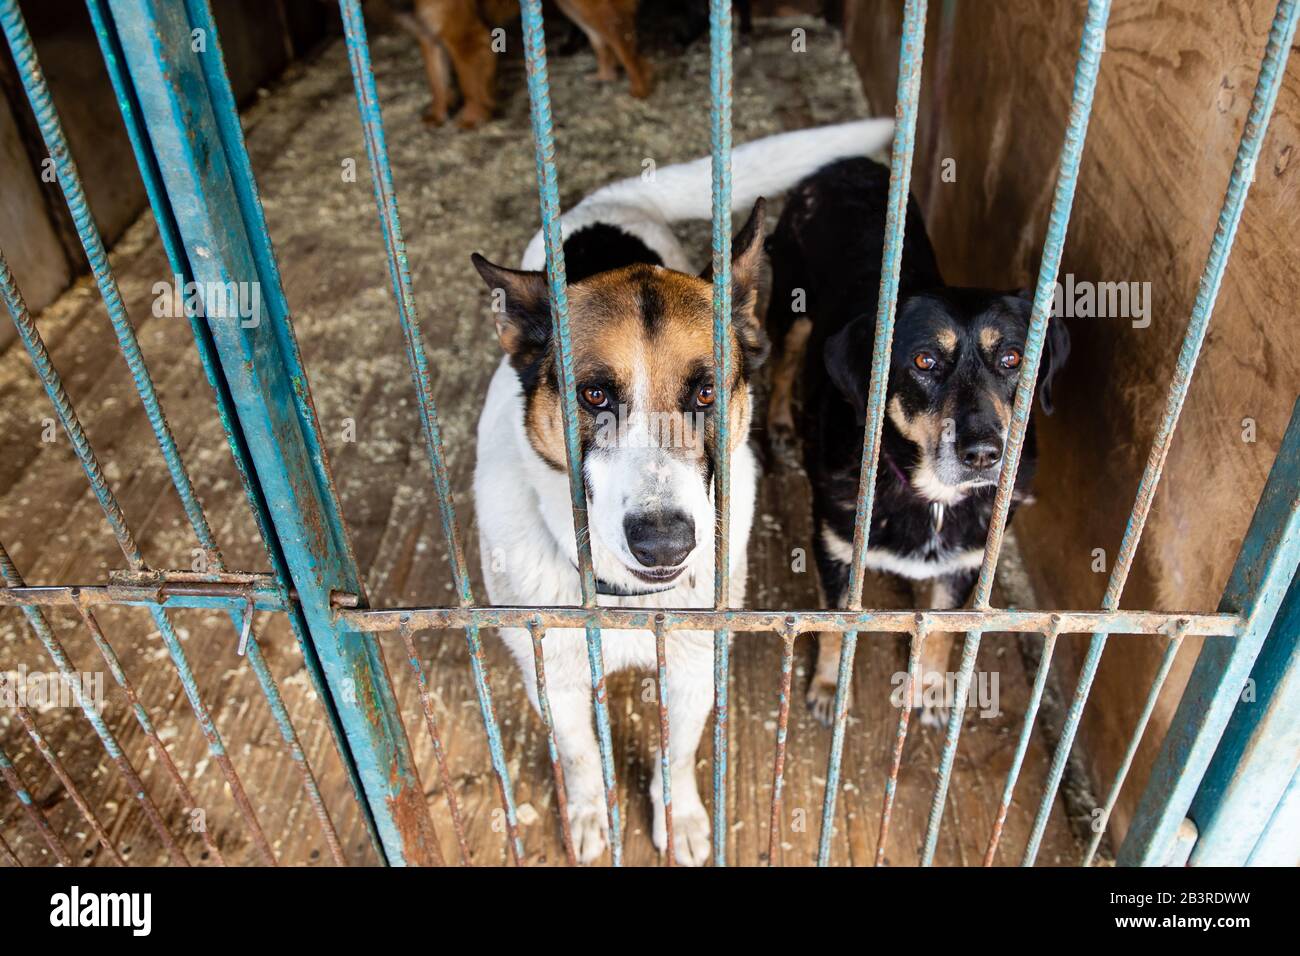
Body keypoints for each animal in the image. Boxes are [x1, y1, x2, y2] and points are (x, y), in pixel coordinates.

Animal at [390, 0, 644, 128]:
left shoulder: (467, 37)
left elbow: (470, 84)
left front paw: (473, 117)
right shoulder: (427, 36)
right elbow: (437, 83)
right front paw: (438, 114)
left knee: (625, 42)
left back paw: (640, 88)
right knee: (601, 40)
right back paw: (604, 75)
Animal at [475, 115, 894, 863]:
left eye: (704, 392)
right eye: (593, 394)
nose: (666, 540)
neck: (626, 600)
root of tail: (610, 203)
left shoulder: (695, 663)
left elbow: (677, 749)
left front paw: (682, 818)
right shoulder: (550, 671)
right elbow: (579, 753)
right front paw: (591, 812)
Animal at [759, 157, 1066, 723]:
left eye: (1012, 358)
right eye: (925, 361)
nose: (983, 454)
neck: (933, 496)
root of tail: (844, 164)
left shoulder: (966, 563)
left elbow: (941, 632)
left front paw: (930, 688)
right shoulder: (836, 550)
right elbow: (837, 629)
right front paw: (831, 687)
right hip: (792, 308)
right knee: (786, 360)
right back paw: (782, 425)